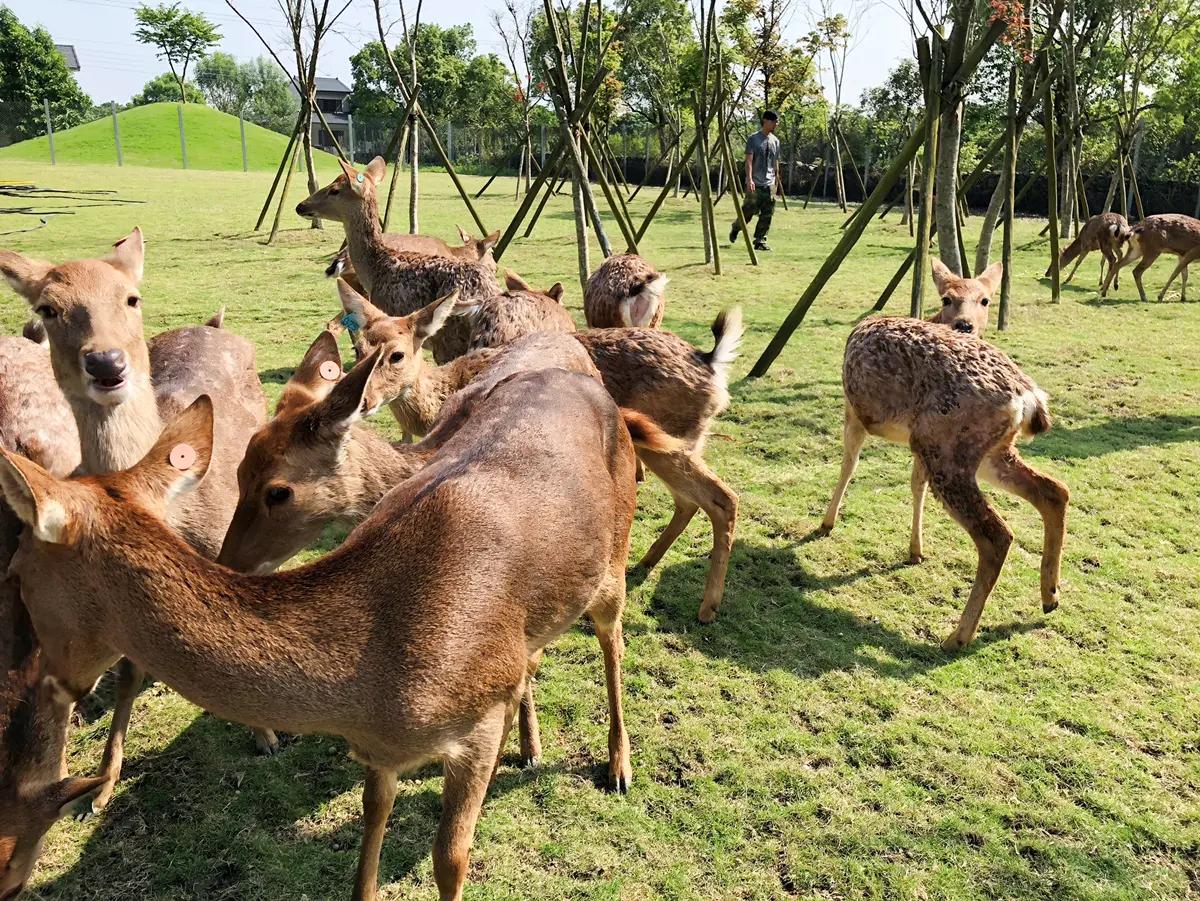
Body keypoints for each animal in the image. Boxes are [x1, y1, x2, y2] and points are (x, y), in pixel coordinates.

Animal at [0, 229, 271, 813]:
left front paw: (265, 736)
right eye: (48, 308)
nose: (106, 363)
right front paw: (102, 783)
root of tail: (214, 325)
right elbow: (126, 671)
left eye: (131, 297)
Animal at [0, 352, 641, 901]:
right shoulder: (380, 751)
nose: (47, 684)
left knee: (612, 640)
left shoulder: (475, 727)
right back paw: (531, 745)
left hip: (615, 557)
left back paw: (617, 767)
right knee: (534, 656)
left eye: (15, 572)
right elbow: (371, 829)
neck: (368, 688)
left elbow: (450, 858)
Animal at [818, 315, 1069, 650]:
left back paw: (957, 636)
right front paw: (915, 551)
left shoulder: (854, 409)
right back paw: (1050, 596)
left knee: (997, 534)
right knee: (1054, 490)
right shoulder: (914, 446)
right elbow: (915, 484)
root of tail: (1028, 399)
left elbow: (849, 463)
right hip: (982, 450)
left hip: (944, 445)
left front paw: (825, 524)